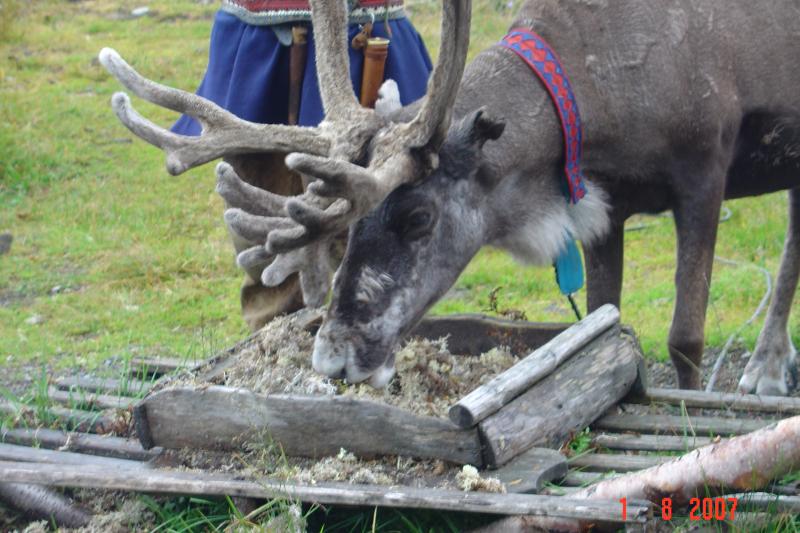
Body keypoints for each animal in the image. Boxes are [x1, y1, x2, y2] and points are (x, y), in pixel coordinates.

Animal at [99, 0, 800, 394]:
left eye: (418, 215)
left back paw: (765, 368)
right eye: (347, 232)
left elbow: (684, 336)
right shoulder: (606, 204)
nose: (332, 358)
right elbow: (609, 319)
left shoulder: (704, 172)